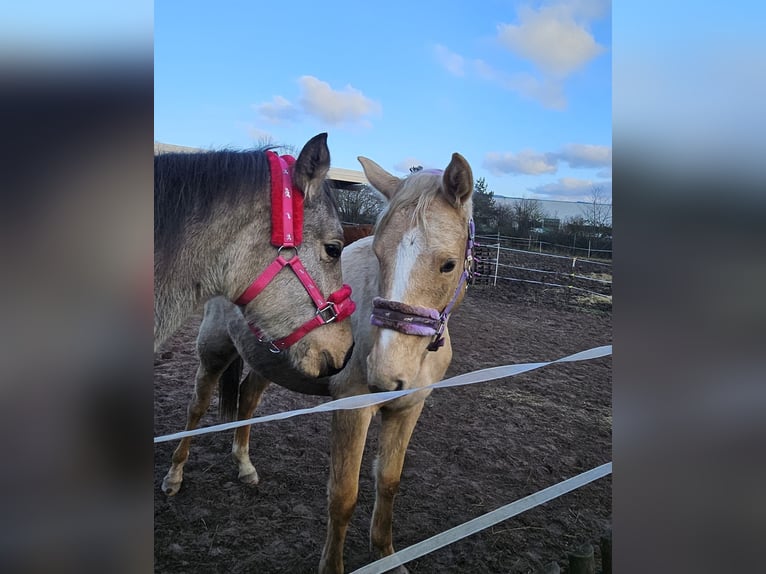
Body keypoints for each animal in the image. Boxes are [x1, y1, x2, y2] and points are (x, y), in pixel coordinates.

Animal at [161, 152, 474, 573]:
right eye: (379, 254)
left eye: (448, 264)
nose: (385, 374)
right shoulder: (352, 410)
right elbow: (343, 496)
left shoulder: (407, 409)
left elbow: (389, 483)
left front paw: (387, 555)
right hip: (214, 351)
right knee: (196, 408)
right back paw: (174, 476)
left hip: (270, 361)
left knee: (246, 399)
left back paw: (244, 466)